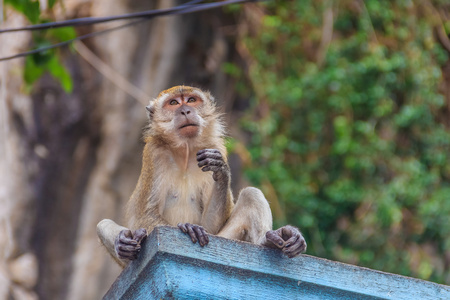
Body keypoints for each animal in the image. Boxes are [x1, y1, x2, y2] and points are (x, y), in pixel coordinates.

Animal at [96, 85, 308, 266]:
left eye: (191, 100)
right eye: (174, 103)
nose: (185, 111)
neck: (186, 151)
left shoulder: (215, 147)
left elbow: (210, 226)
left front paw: (222, 171)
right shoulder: (154, 154)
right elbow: (146, 214)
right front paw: (187, 227)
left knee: (251, 193)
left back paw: (268, 241)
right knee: (103, 224)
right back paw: (124, 244)